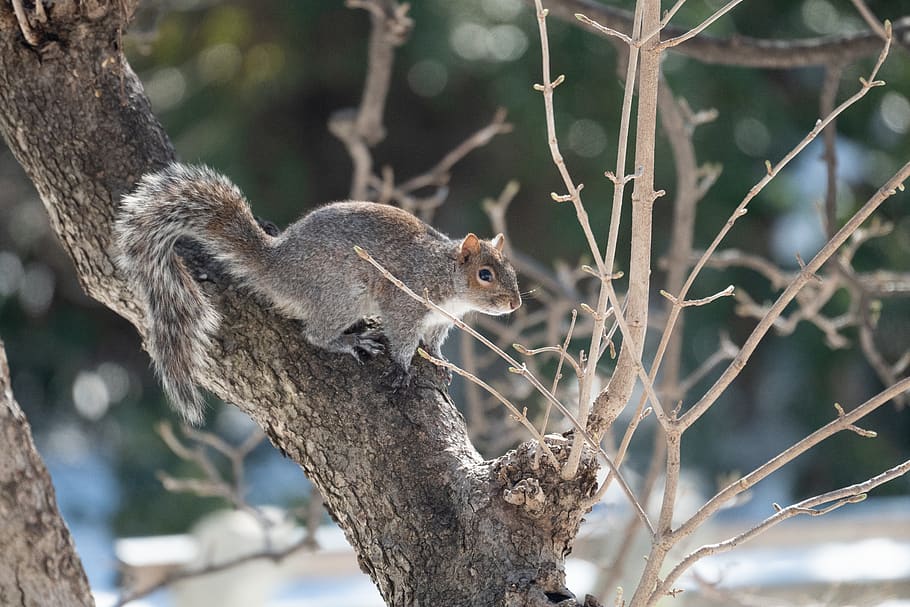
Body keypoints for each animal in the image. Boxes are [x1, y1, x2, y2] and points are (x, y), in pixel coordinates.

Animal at [114, 163, 522, 424]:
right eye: (485, 275)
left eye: (512, 271)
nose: (515, 303)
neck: (447, 281)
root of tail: (277, 266)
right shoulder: (404, 302)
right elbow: (403, 340)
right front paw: (403, 368)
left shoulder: (440, 321)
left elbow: (433, 343)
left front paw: (439, 362)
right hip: (344, 295)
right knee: (314, 334)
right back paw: (352, 341)